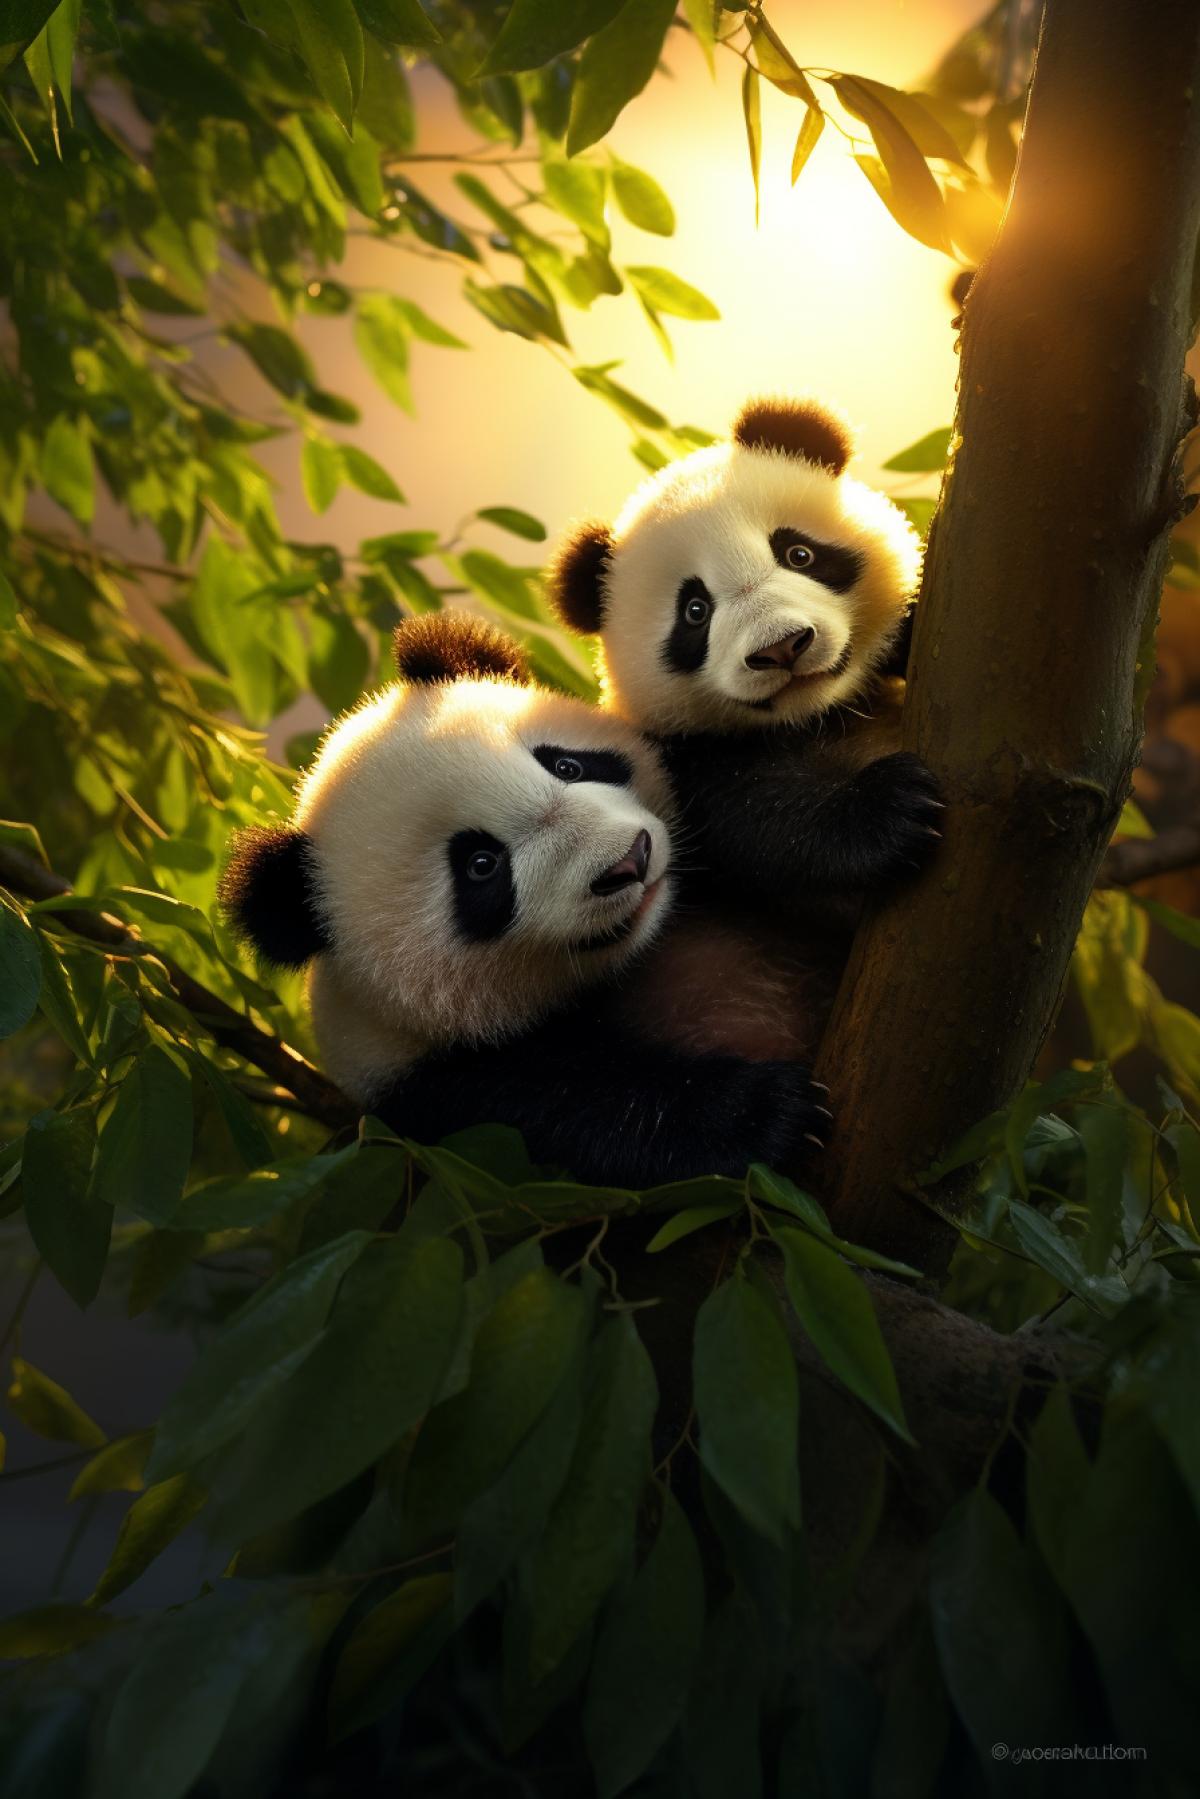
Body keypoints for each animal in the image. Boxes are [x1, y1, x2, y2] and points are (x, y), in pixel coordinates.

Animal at [219, 611, 830, 1188]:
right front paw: (765, 1114)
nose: (629, 862)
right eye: (482, 867)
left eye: (566, 765)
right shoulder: (435, 1088)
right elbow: (578, 1104)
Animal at [546, 397, 944, 1067]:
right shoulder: (675, 765)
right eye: (695, 612)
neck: (820, 715)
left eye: (798, 554)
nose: (782, 647)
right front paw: (892, 809)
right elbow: (759, 819)